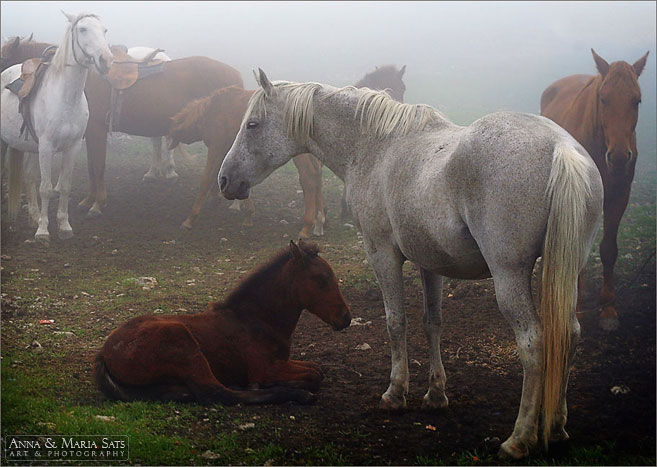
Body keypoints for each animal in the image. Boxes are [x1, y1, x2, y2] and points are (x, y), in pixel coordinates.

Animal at [1, 12, 112, 243]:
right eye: (83, 29)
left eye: (104, 30)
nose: (106, 60)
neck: (66, 97)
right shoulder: (47, 147)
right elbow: (46, 188)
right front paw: (43, 231)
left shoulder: (73, 147)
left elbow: (65, 187)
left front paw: (64, 225)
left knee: (29, 176)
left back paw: (34, 216)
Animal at [93, 241, 352, 406]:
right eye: (321, 279)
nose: (346, 318)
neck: (256, 320)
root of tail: (104, 353)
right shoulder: (264, 368)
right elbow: (313, 376)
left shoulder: (282, 361)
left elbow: (316, 369)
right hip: (183, 343)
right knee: (216, 394)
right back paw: (292, 394)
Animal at [218, 70, 604, 460]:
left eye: (252, 124)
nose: (224, 180)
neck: (376, 148)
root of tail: (560, 148)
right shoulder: (430, 263)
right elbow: (432, 323)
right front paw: (435, 394)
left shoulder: (382, 254)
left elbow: (396, 322)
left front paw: (395, 393)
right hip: (567, 272)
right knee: (569, 334)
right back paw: (556, 428)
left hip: (509, 277)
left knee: (533, 344)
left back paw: (520, 438)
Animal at [540, 48, 648, 332]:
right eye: (603, 98)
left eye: (637, 101)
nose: (619, 158)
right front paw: (575, 310)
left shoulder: (619, 196)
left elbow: (609, 249)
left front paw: (608, 310)